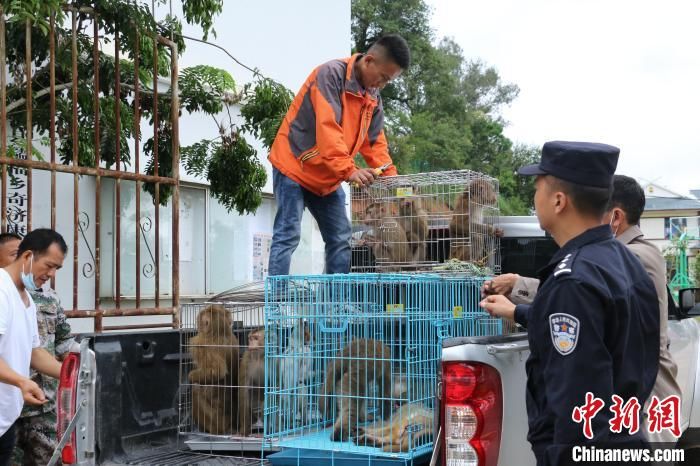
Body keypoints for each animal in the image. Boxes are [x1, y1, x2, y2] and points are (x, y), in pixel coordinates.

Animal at [190, 306, 239, 434]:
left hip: (216, 421)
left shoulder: (200, 343)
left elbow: (216, 373)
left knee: (196, 389)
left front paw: (190, 376)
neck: (220, 332)